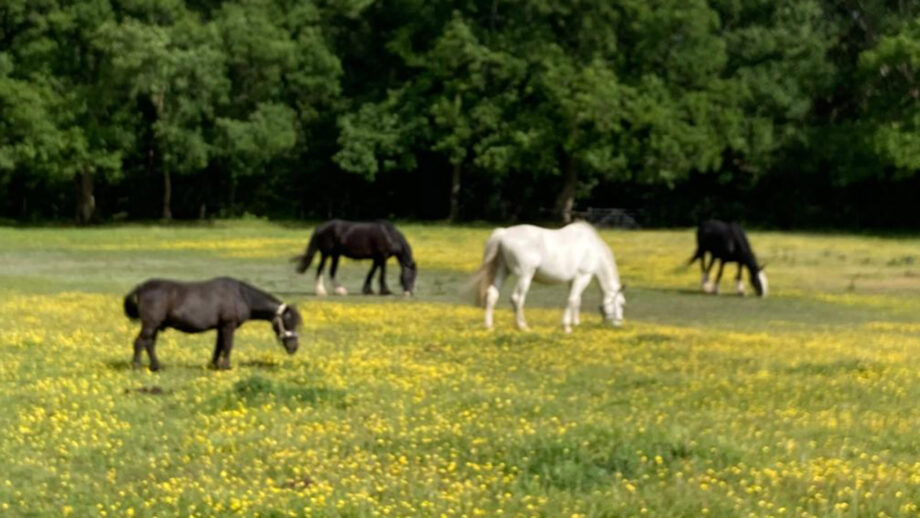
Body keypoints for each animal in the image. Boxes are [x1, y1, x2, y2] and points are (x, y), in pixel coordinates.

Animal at [123, 277, 303, 371]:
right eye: (287, 322)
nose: (294, 347)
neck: (241, 296)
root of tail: (141, 288)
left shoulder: (220, 327)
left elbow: (218, 347)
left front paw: (214, 364)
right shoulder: (228, 325)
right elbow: (227, 346)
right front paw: (226, 366)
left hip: (155, 326)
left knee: (149, 344)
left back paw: (156, 366)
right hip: (150, 324)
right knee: (139, 342)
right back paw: (136, 366)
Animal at [471, 222, 625, 332]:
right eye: (622, 303)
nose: (618, 324)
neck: (593, 249)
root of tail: (504, 234)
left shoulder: (573, 281)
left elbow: (577, 301)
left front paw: (576, 323)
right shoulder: (583, 277)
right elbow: (571, 300)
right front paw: (567, 327)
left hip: (503, 271)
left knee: (492, 294)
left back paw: (489, 326)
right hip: (525, 275)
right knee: (517, 299)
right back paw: (523, 327)